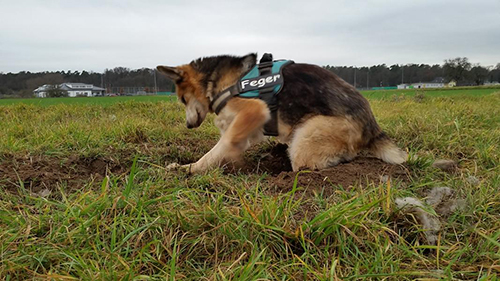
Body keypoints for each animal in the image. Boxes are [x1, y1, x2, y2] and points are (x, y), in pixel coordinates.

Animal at [156, 51, 406, 172]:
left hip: (306, 138)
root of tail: (372, 126)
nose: (188, 126)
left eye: (182, 99)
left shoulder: (253, 112)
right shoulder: (245, 128)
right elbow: (222, 148)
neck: (215, 80)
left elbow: (217, 150)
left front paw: (189, 169)